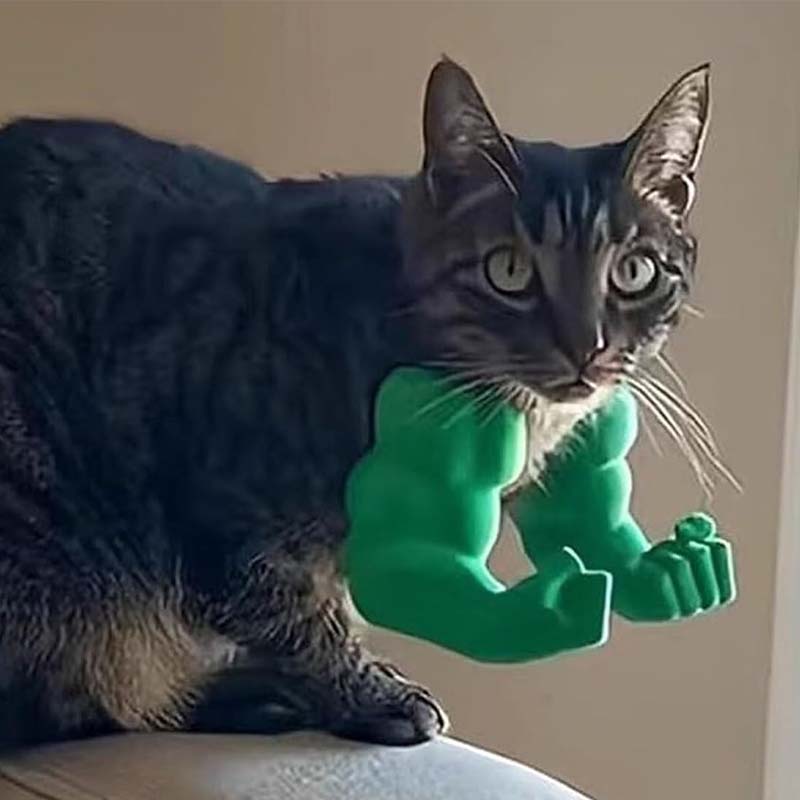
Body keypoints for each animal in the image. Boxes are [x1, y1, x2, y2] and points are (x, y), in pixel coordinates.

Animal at [0, 57, 708, 749]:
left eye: (635, 272)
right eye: (508, 271)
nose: (587, 347)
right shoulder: (229, 507)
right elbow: (297, 614)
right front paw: (371, 693)